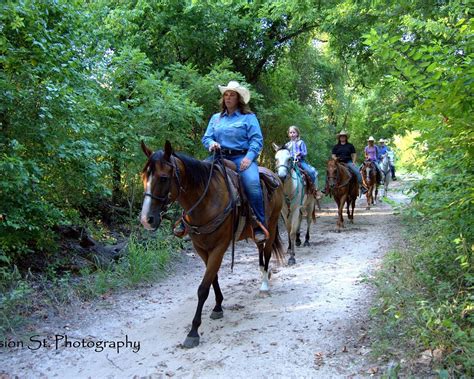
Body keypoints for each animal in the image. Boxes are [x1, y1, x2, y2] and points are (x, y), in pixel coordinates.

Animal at [139, 141, 284, 348]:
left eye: (164, 178)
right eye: (144, 176)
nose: (146, 219)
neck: (206, 201)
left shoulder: (219, 247)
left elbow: (202, 288)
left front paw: (193, 331)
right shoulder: (201, 248)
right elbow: (212, 277)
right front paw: (217, 306)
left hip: (271, 225)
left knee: (267, 253)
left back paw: (264, 284)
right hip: (257, 234)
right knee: (260, 249)